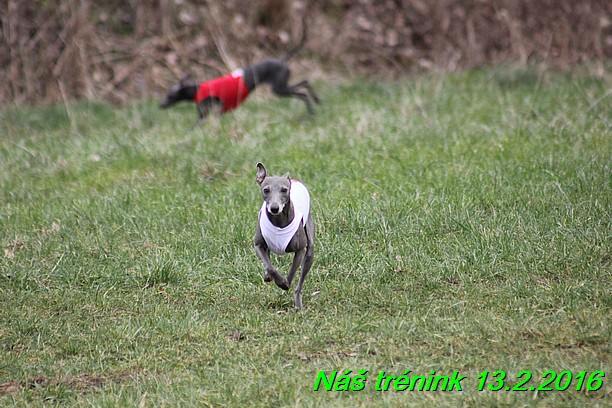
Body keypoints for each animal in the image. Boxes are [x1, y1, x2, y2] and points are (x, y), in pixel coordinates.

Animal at [161, 19, 320, 126]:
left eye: (169, 95)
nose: (161, 105)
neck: (196, 90)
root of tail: (281, 60)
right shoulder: (211, 114)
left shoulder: (207, 114)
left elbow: (195, 126)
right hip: (281, 87)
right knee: (304, 83)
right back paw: (316, 102)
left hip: (279, 88)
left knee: (302, 90)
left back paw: (313, 105)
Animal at [253, 163, 316, 310]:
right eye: (266, 190)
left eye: (284, 190)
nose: (274, 208)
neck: (279, 222)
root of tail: (293, 179)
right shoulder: (258, 245)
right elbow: (270, 267)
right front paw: (275, 278)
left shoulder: (300, 251)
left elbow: (292, 271)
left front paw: (284, 283)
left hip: (310, 250)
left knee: (299, 285)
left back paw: (298, 305)